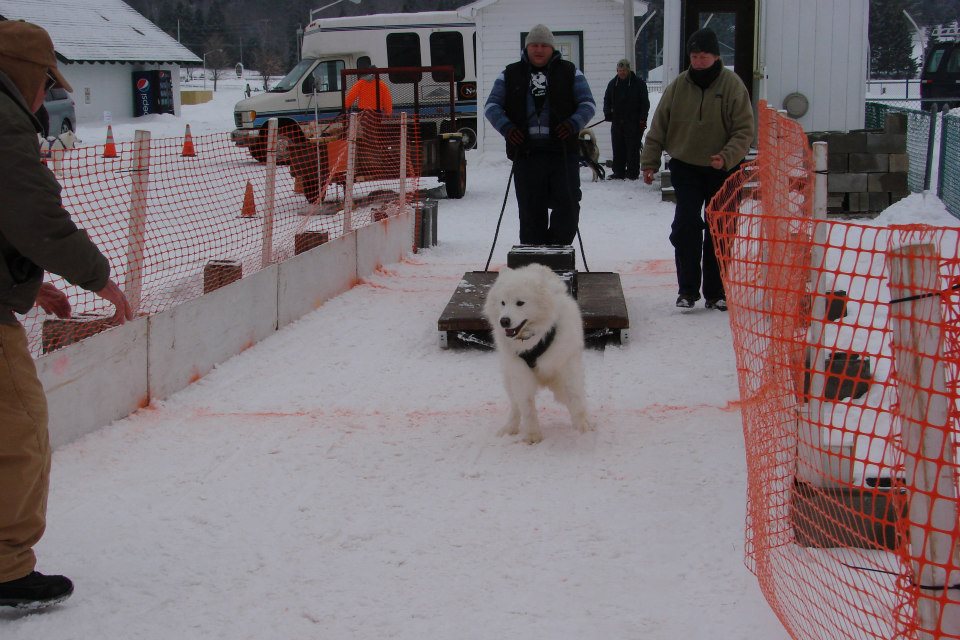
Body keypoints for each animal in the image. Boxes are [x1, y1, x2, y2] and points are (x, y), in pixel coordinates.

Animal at [480, 262, 592, 442]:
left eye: (520, 303)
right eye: (503, 303)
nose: (504, 321)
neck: (533, 338)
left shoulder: (567, 365)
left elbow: (576, 399)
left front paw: (583, 429)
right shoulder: (520, 373)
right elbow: (527, 406)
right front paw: (533, 436)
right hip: (509, 378)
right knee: (515, 406)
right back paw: (509, 428)